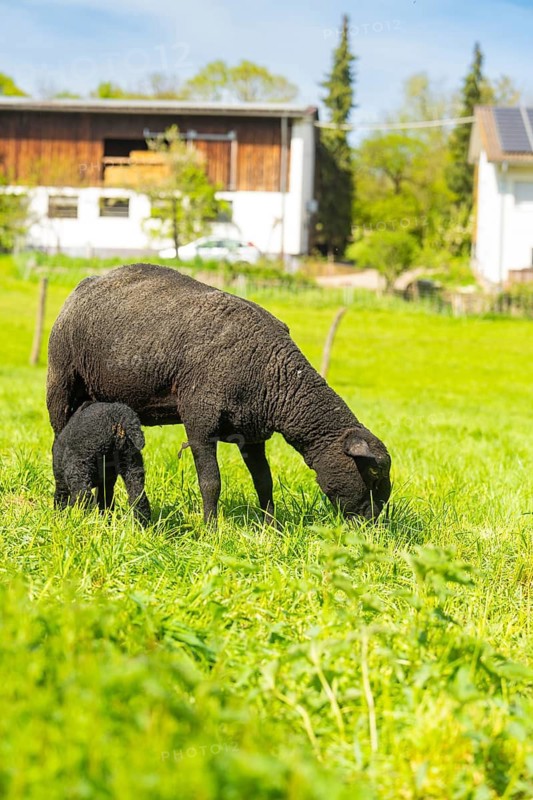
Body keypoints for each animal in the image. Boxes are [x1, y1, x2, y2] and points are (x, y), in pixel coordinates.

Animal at [47, 264, 391, 524]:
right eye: (373, 473)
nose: (372, 527)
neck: (274, 374)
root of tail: (88, 282)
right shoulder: (199, 425)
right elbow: (211, 482)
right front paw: (210, 529)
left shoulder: (252, 435)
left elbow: (264, 481)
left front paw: (270, 527)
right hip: (61, 385)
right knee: (59, 445)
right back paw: (65, 510)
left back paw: (106, 513)